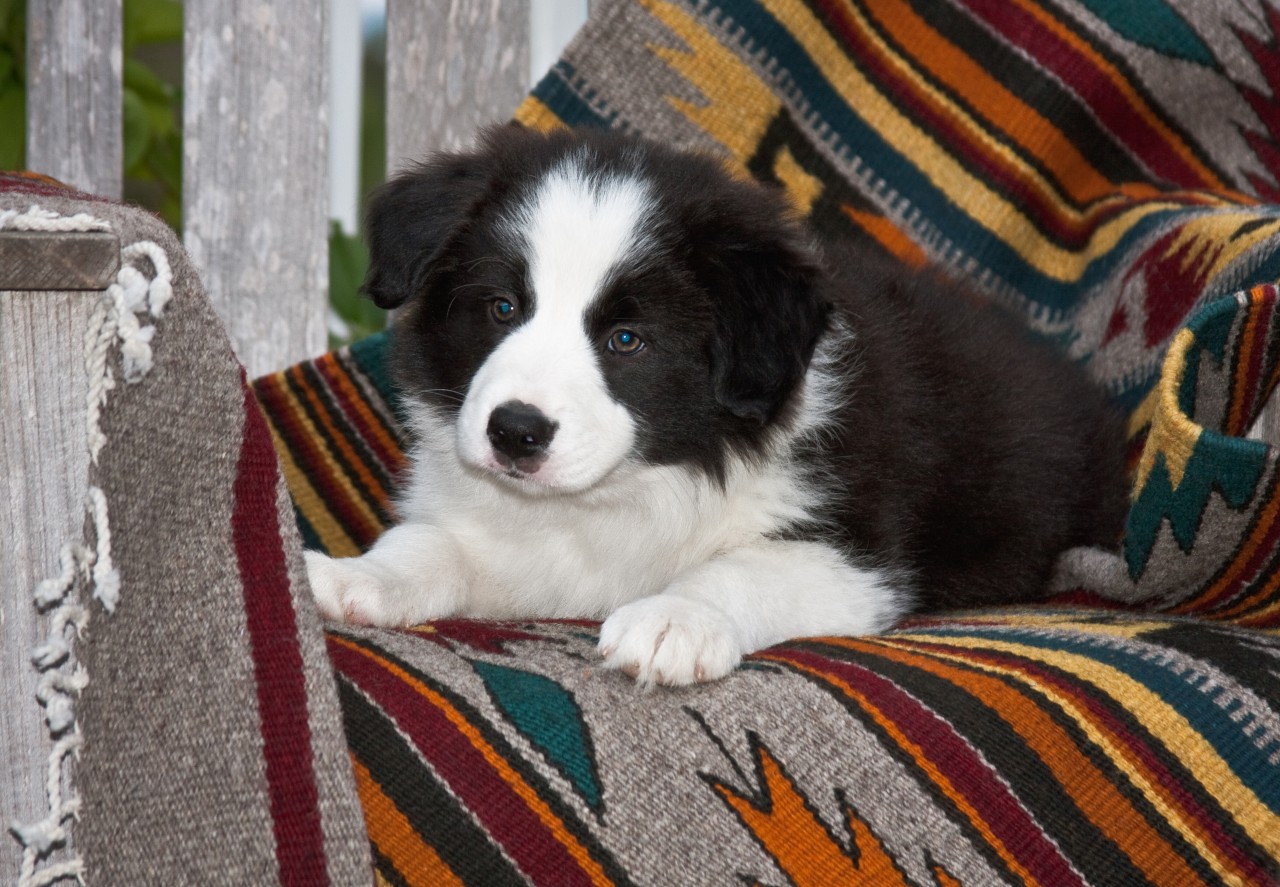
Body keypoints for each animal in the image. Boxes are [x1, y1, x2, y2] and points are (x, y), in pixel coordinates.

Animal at [304, 126, 1126, 686]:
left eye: (628, 340)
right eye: (502, 307)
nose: (515, 433)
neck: (632, 487)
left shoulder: (854, 553)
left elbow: (741, 568)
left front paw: (673, 618)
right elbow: (433, 543)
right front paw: (357, 577)